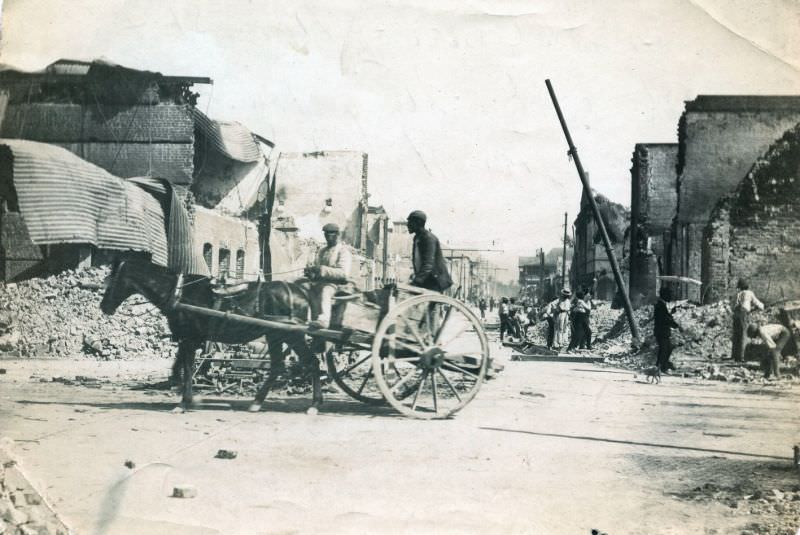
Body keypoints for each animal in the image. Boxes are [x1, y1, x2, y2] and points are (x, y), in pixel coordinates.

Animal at [101, 260, 322, 414]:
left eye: (112, 280)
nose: (104, 307)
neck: (178, 294)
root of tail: (300, 291)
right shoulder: (189, 339)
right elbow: (180, 366)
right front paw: (183, 394)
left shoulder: (189, 339)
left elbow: (187, 368)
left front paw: (184, 402)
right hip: (275, 335)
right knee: (278, 366)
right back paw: (257, 403)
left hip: (290, 335)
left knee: (311, 362)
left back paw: (314, 405)